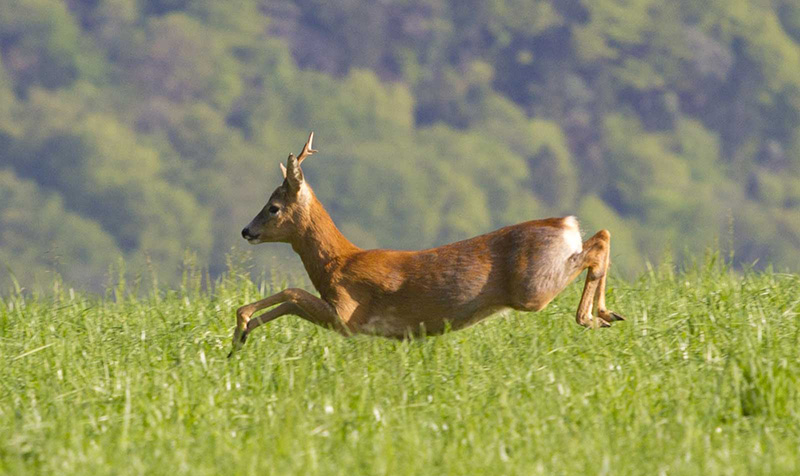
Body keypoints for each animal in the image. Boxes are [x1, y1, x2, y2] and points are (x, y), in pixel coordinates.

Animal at [230, 132, 624, 356]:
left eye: (273, 206)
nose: (246, 231)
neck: (337, 262)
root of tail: (566, 224)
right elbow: (290, 299)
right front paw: (241, 337)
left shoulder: (349, 315)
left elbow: (293, 293)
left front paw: (241, 326)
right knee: (602, 236)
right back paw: (607, 314)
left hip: (533, 289)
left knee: (596, 247)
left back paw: (592, 317)